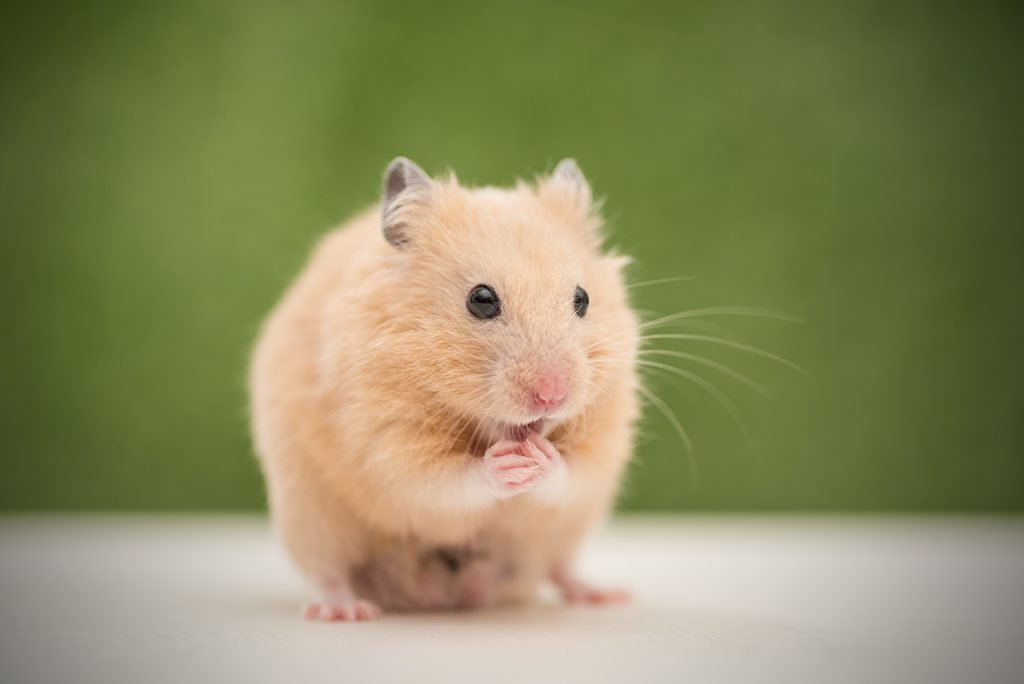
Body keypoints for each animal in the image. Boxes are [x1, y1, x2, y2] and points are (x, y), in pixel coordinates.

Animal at [249, 157, 640, 620]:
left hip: (566, 532)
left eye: (582, 298)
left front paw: (540, 459)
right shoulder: (385, 443)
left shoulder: (605, 441)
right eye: (481, 300)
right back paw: (345, 610)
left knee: (558, 567)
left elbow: (573, 473)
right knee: (329, 572)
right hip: (309, 515)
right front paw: (506, 463)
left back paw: (605, 594)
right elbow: (442, 481)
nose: (552, 395)